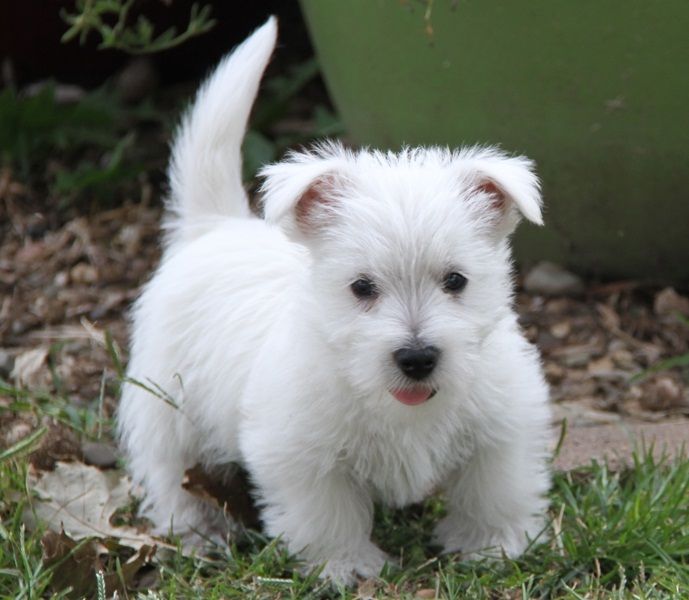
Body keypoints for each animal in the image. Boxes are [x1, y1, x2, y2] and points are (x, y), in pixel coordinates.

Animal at [118, 17, 552, 585]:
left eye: (456, 281)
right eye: (362, 288)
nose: (417, 358)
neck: (396, 404)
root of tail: (214, 224)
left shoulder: (502, 428)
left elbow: (494, 489)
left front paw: (492, 546)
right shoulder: (298, 451)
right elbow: (326, 513)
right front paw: (346, 565)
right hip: (168, 405)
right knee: (169, 468)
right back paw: (197, 528)